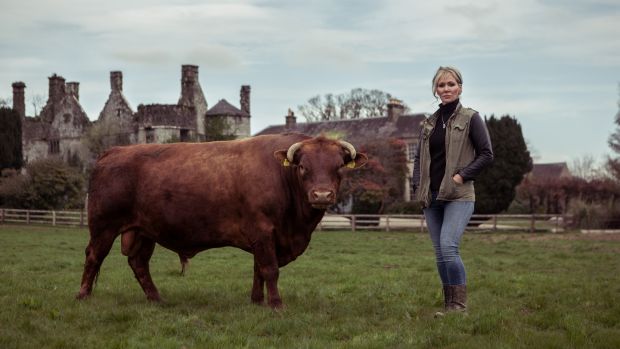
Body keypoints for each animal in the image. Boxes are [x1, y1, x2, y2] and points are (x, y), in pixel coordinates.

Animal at [77, 133, 368, 308]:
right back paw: (83, 296)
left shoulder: (263, 238)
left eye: (338, 167)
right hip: (103, 227)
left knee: (139, 264)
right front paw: (276, 304)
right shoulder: (262, 231)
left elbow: (259, 269)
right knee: (93, 257)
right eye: (303, 167)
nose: (322, 195)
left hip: (144, 231)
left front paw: (256, 301)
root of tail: (113, 152)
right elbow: (270, 269)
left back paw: (157, 299)